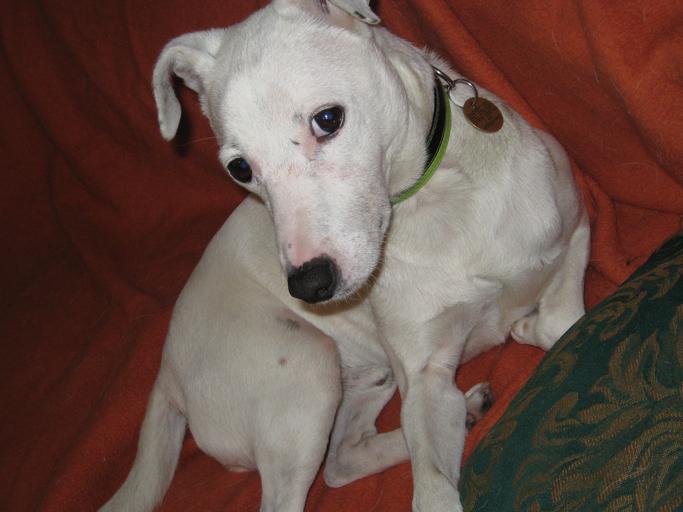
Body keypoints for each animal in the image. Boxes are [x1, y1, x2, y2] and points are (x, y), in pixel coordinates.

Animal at [100, 1, 589, 511]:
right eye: (241, 169)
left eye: (328, 119)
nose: (308, 286)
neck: (434, 204)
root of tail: (166, 374)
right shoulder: (426, 379)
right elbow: (432, 487)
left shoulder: (576, 231)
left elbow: (565, 319)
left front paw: (528, 325)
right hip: (308, 371)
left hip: (369, 375)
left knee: (342, 459)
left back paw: (466, 411)